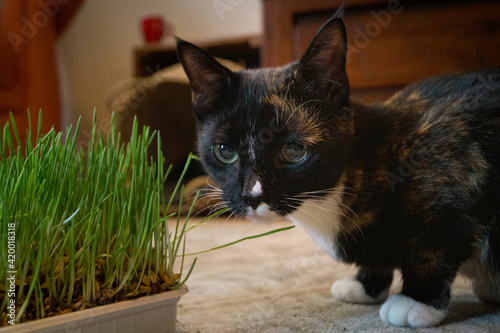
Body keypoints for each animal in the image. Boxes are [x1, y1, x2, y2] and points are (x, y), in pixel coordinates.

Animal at [176, 9, 500, 328]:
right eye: (225, 151)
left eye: (294, 150)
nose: (251, 196)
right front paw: (366, 284)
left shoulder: (458, 175)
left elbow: (434, 249)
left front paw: (417, 301)